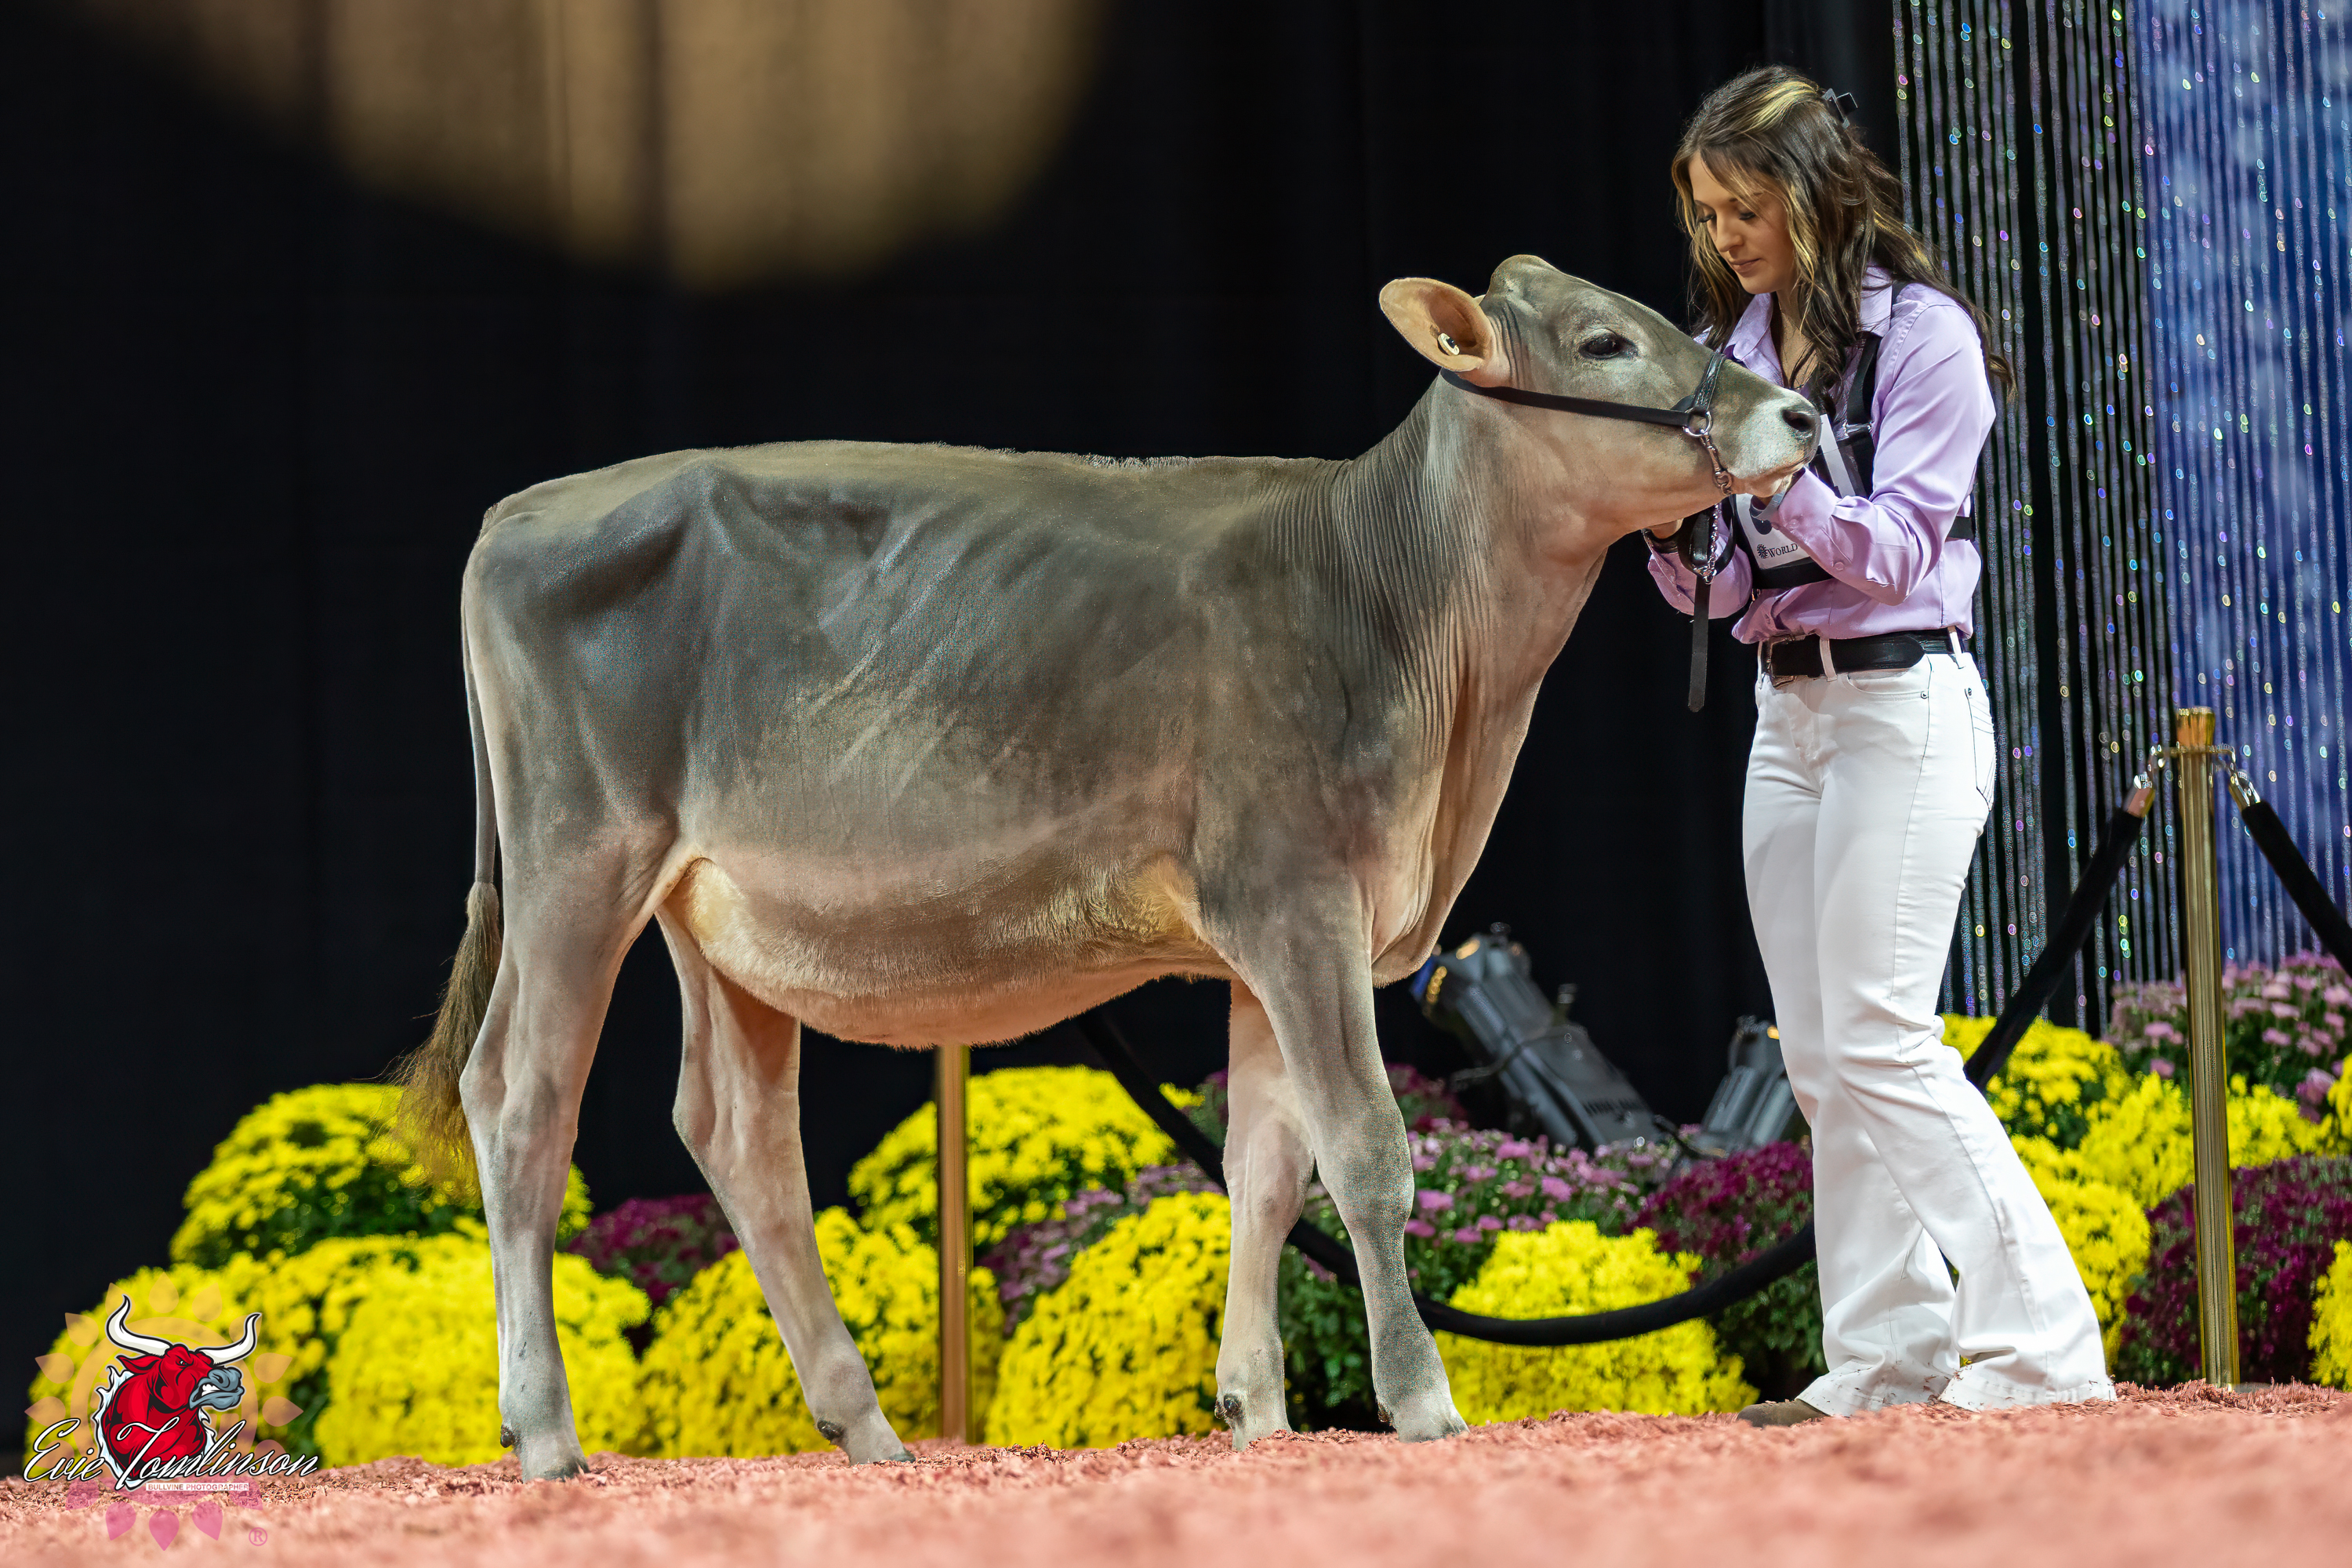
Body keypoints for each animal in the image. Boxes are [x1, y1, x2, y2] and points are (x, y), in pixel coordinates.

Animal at [396, 255, 1818, 1479]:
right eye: (1605, 341)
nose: (1801, 410)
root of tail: (524, 509)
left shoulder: (1271, 941)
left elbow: (1265, 1169)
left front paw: (1257, 1410)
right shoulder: (1299, 898)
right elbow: (1367, 1150)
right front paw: (1420, 1400)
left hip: (715, 911)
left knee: (738, 1133)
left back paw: (865, 1427)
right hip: (579, 856)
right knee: (520, 1098)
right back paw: (547, 1432)